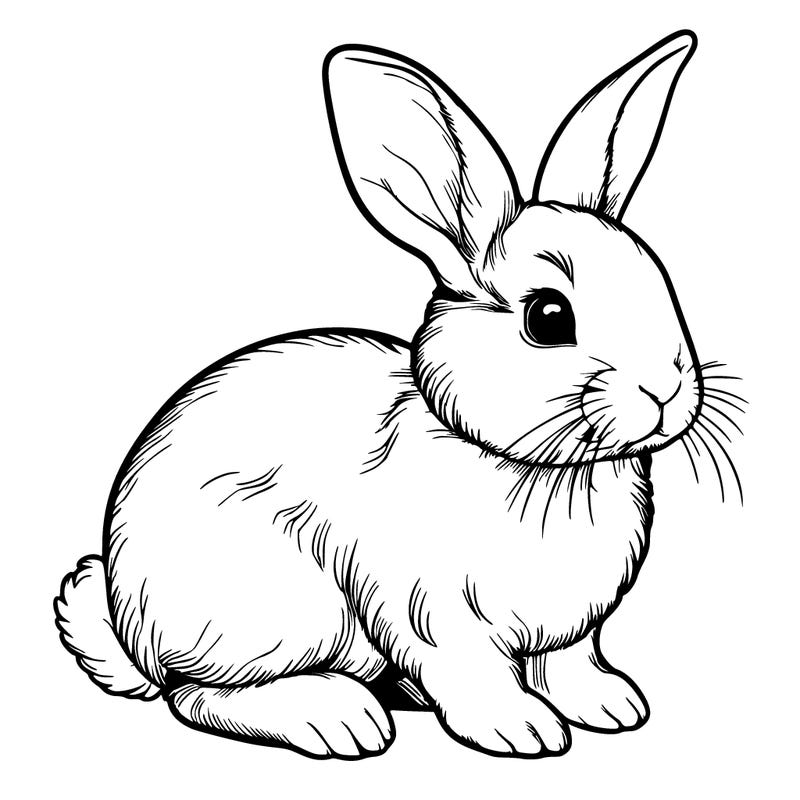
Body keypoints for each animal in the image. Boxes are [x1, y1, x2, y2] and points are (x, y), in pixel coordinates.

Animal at [56, 30, 705, 759]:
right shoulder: (432, 612)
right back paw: (338, 718)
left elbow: (568, 662)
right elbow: (472, 671)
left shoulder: (572, 629)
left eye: (659, 280)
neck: (536, 468)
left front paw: (613, 705)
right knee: (199, 696)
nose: (667, 388)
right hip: (277, 616)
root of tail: (129, 626)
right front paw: (521, 729)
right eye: (547, 317)